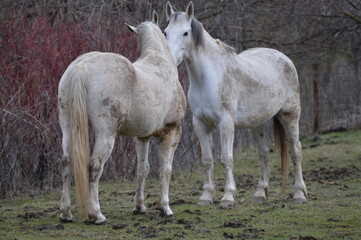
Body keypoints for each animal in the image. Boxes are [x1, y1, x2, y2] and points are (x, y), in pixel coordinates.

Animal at [57, 11, 186, 225]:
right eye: (168, 32)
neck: (160, 63)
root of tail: (82, 67)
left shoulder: (142, 137)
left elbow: (143, 169)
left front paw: (140, 207)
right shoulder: (172, 132)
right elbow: (165, 169)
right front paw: (165, 208)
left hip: (67, 127)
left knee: (66, 162)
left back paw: (66, 213)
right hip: (106, 134)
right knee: (94, 166)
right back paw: (97, 214)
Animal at [163, 1, 306, 207]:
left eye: (185, 33)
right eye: (165, 32)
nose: (169, 60)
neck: (208, 78)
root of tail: (284, 58)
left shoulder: (226, 123)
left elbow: (226, 158)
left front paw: (228, 197)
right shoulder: (200, 124)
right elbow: (207, 160)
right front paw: (206, 196)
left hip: (290, 116)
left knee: (295, 151)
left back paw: (299, 194)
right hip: (257, 123)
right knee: (263, 153)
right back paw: (260, 194)